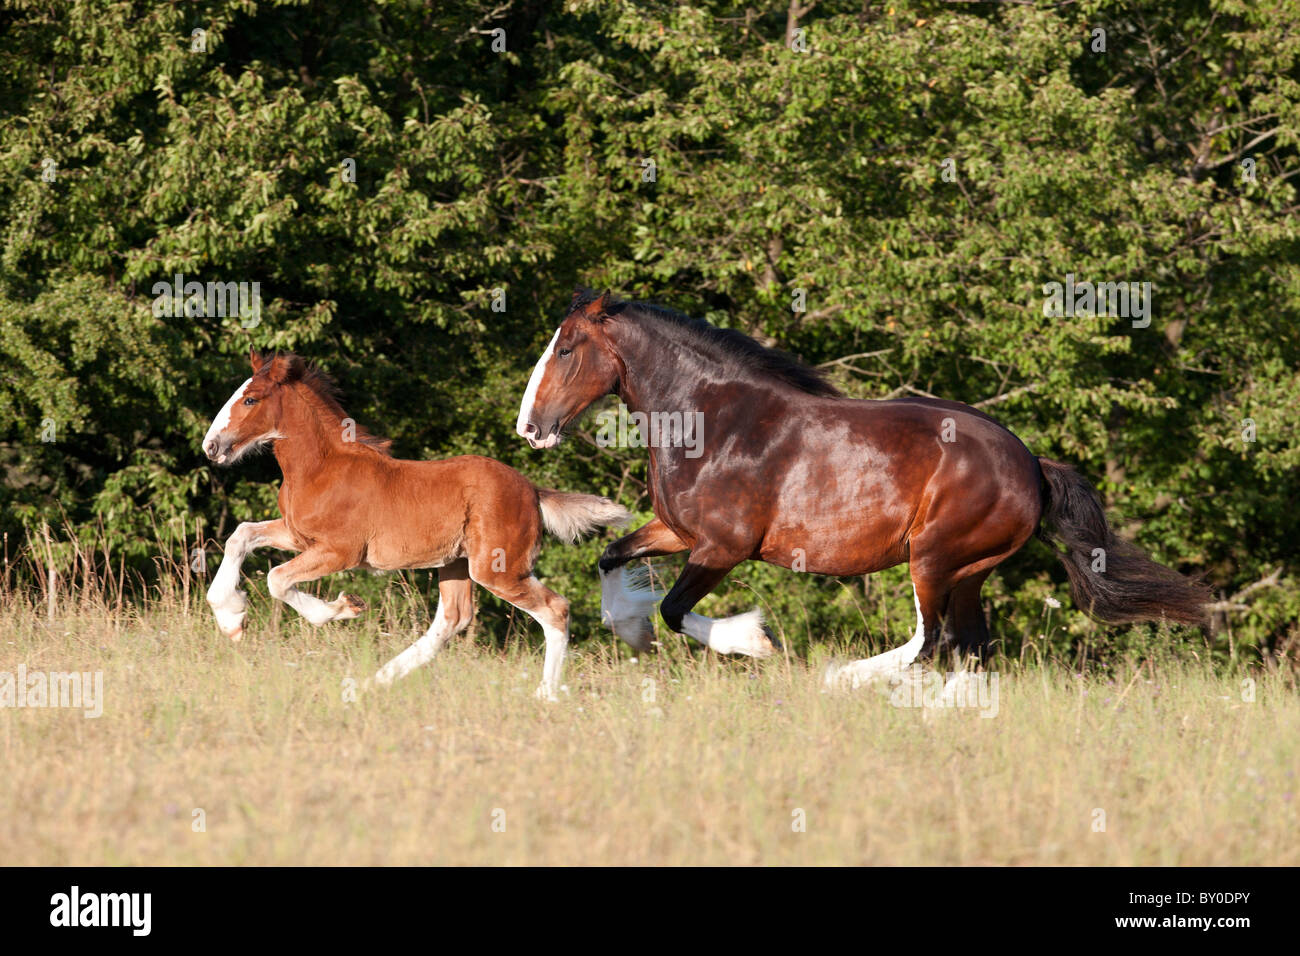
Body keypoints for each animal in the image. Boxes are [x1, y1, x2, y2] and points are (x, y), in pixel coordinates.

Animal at [201, 348, 629, 697]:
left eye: (251, 399)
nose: (211, 446)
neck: (321, 467)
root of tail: (533, 491)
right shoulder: (298, 536)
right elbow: (241, 536)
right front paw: (230, 618)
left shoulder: (340, 551)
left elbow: (276, 579)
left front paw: (344, 607)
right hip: (457, 564)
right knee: (453, 620)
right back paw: (371, 684)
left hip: (497, 568)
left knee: (556, 608)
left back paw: (547, 695)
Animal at [512, 291, 1201, 686]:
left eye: (566, 348)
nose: (529, 428)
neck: (713, 418)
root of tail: (1032, 463)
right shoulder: (679, 532)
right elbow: (611, 558)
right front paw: (630, 631)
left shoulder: (721, 548)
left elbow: (676, 611)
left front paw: (755, 643)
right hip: (971, 569)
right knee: (970, 646)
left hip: (934, 556)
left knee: (931, 639)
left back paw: (842, 677)